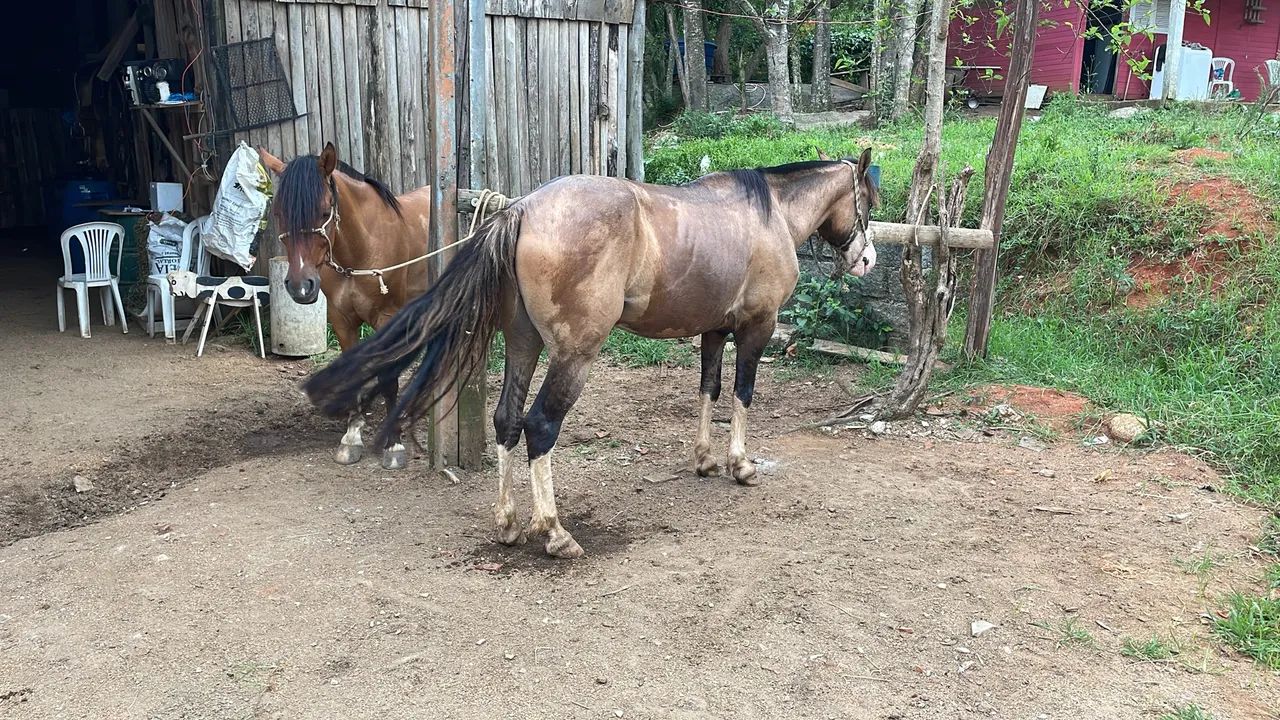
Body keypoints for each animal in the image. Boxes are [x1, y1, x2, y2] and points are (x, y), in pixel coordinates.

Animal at [258, 143, 431, 471]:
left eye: (325, 211)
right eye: (278, 213)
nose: (301, 286)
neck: (362, 249)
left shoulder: (386, 318)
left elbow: (388, 377)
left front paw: (394, 445)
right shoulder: (341, 320)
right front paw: (352, 437)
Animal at [303, 148, 881, 558]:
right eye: (867, 202)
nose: (868, 260)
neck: (769, 215)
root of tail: (521, 211)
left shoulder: (714, 331)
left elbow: (709, 389)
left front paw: (703, 459)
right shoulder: (756, 327)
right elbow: (741, 393)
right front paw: (740, 465)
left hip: (524, 345)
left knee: (507, 420)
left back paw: (508, 522)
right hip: (573, 357)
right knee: (539, 426)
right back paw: (555, 533)